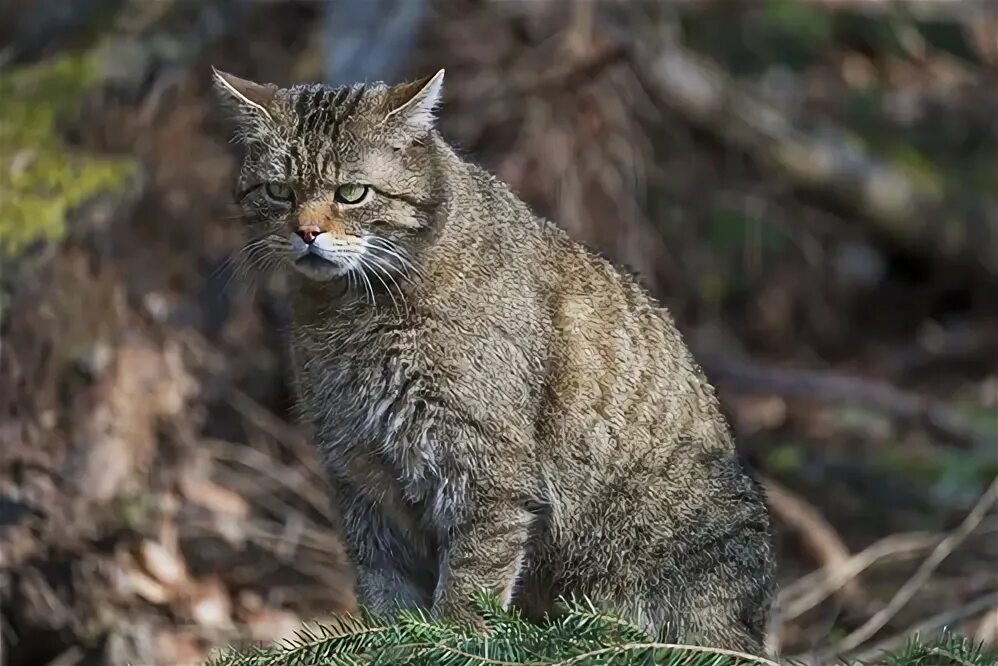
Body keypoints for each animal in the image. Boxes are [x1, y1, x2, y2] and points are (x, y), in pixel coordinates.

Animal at [211, 68, 776, 652]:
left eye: (351, 193)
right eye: (280, 191)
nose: (306, 232)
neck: (348, 314)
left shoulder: (483, 467)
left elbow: (470, 582)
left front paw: (450, 639)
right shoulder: (361, 475)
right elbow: (384, 589)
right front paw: (396, 641)